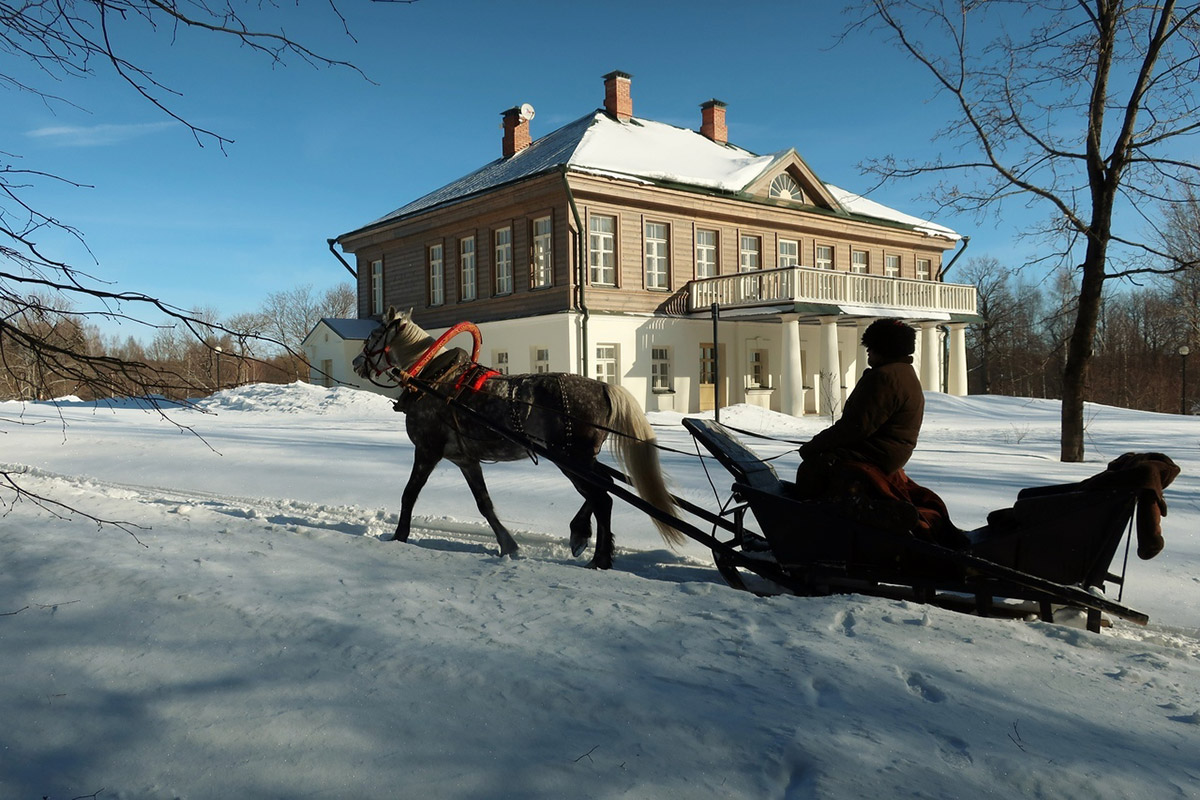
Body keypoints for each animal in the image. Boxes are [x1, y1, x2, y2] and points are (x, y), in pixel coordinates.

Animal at [350, 307, 681, 568]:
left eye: (372, 337)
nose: (355, 363)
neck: (434, 380)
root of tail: (603, 386)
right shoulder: (465, 459)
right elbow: (484, 503)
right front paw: (507, 544)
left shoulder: (427, 450)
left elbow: (409, 494)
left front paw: (399, 535)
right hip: (582, 460)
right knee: (604, 489)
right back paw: (583, 536)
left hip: (572, 459)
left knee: (602, 498)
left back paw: (598, 557)